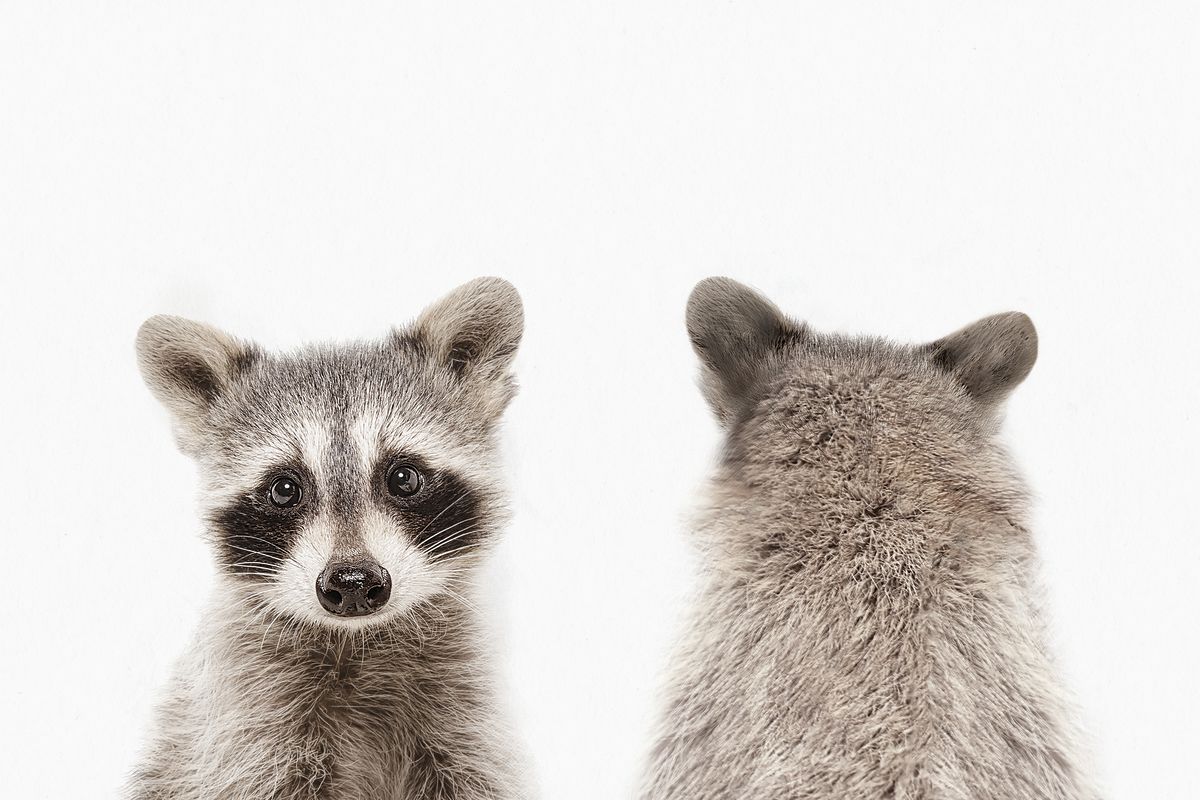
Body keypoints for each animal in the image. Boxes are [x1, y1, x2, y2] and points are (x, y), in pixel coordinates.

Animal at [125, 277, 530, 800]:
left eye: (404, 478)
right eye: (284, 489)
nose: (353, 582)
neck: (357, 640)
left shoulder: (463, 716)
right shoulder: (246, 725)